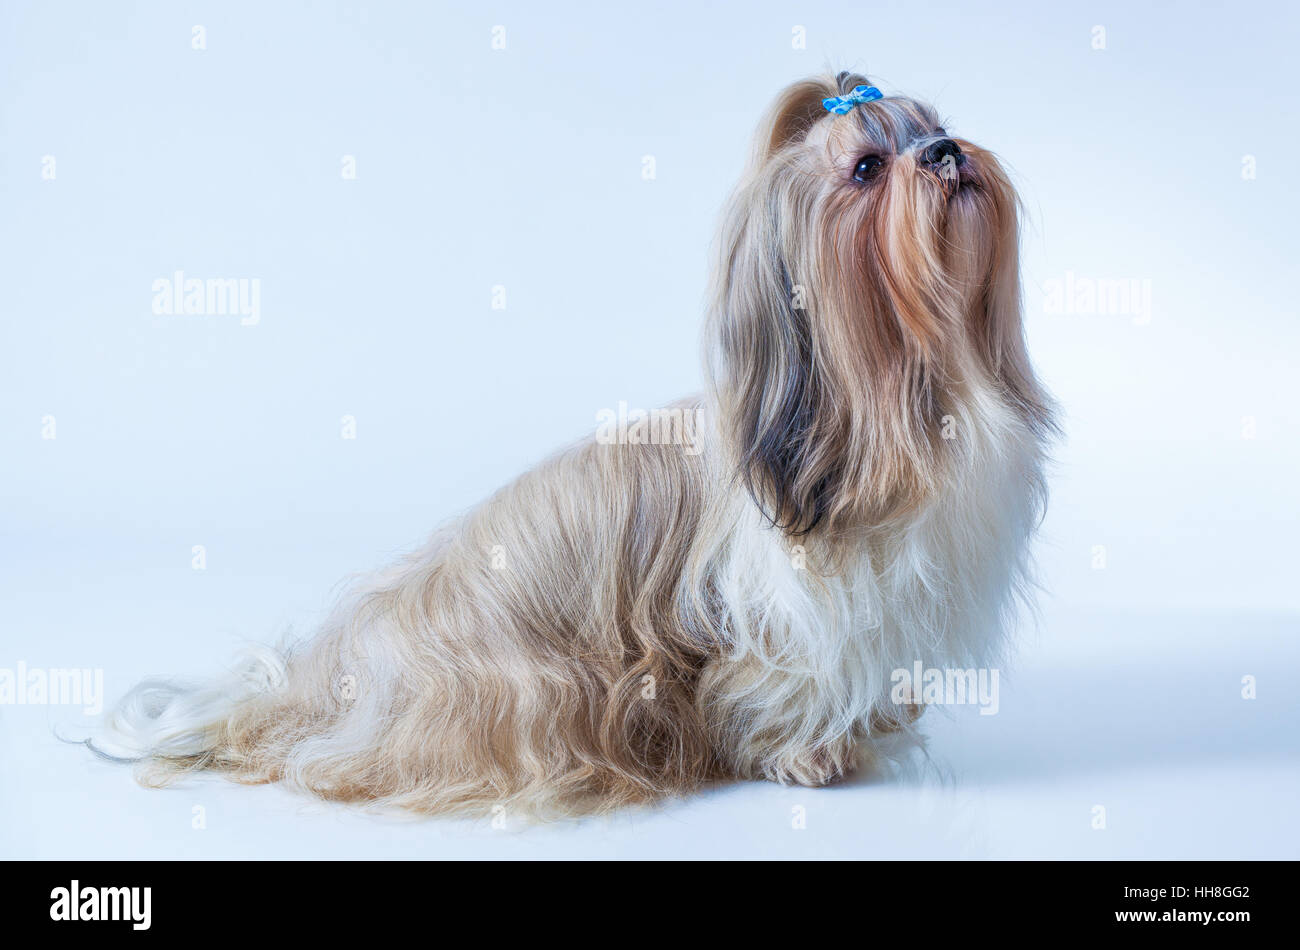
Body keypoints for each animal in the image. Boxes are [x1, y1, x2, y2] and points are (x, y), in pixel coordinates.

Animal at [98, 72, 1055, 816]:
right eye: (865, 168)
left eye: (932, 125)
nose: (946, 152)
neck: (891, 397)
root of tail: (316, 680)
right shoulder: (783, 616)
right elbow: (782, 684)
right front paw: (808, 756)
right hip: (537, 693)